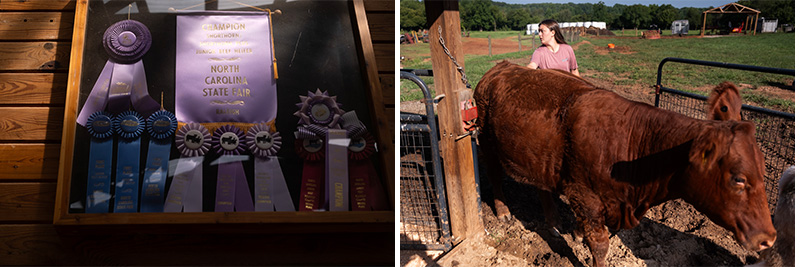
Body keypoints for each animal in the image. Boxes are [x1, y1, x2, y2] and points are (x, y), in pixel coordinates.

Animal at [476, 61, 776, 267]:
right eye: (738, 178)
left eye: (764, 170)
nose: (769, 238)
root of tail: (501, 67)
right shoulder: (586, 197)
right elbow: (599, 245)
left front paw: (575, 232)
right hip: (486, 141)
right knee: (493, 174)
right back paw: (503, 212)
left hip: (538, 155)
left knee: (541, 186)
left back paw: (553, 221)